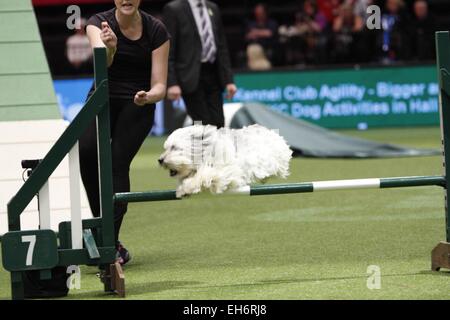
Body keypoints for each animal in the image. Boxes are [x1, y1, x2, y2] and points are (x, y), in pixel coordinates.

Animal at [158, 123, 292, 196]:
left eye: (174, 147)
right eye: (166, 148)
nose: (160, 160)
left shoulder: (226, 171)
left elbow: (205, 175)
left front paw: (186, 188)